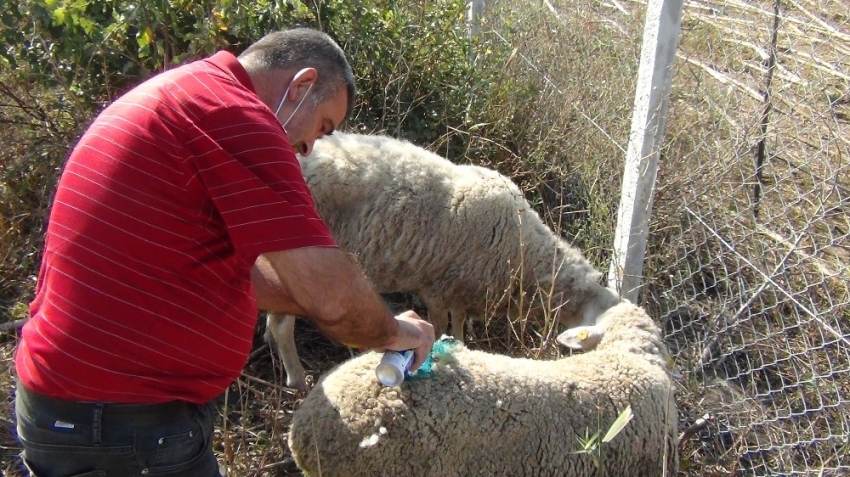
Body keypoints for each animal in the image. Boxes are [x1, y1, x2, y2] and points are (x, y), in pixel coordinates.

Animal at [268, 132, 620, 388]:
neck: (523, 253)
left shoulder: (460, 289)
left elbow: (459, 320)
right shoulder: (439, 286)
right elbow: (439, 325)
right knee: (281, 324)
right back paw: (297, 379)